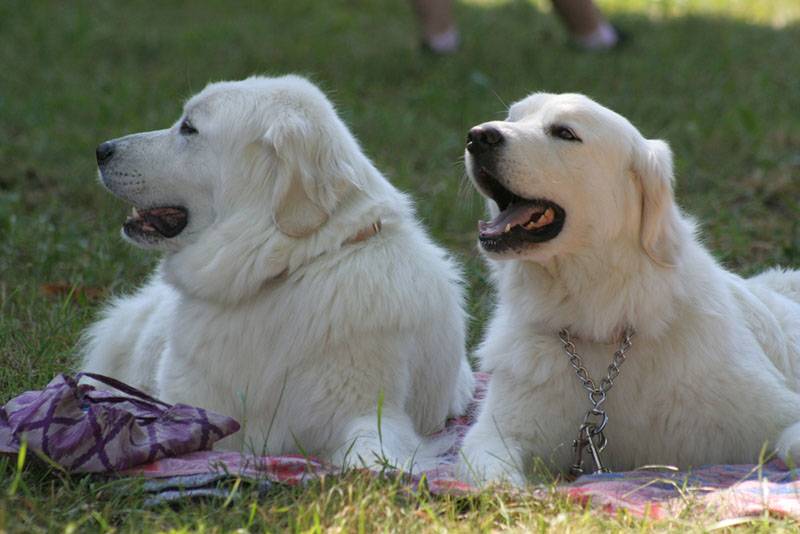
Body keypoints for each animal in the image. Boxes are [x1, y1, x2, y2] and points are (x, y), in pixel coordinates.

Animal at [79, 75, 476, 468]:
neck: (289, 268)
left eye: (189, 128)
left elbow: (371, 455)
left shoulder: (371, 412)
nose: (101, 149)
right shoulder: (195, 402)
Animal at [460, 92, 800, 486]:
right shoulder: (494, 434)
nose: (478, 136)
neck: (605, 325)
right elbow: (497, 480)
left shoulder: (774, 410)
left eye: (564, 133)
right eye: (513, 118)